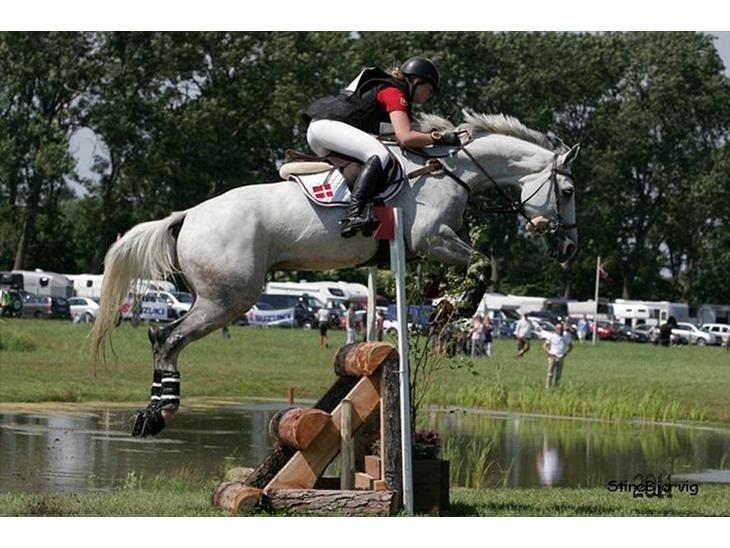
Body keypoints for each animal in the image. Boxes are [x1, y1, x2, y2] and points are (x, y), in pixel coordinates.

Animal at [91, 111, 576, 436]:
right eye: (568, 191)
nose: (568, 248)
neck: (450, 171)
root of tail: (189, 215)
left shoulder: (419, 249)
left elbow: (450, 275)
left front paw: (439, 306)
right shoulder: (431, 238)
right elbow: (483, 264)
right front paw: (453, 311)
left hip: (218, 296)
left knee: (161, 335)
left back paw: (152, 412)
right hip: (228, 297)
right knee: (168, 337)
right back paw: (159, 413)